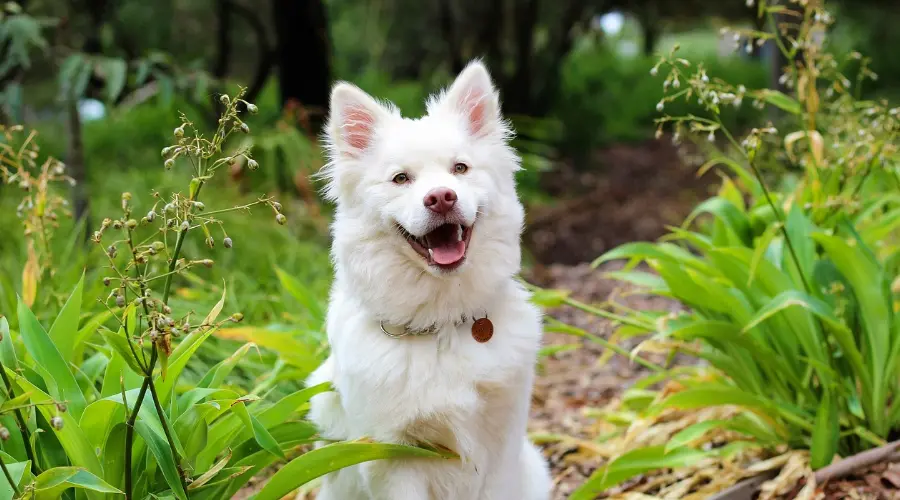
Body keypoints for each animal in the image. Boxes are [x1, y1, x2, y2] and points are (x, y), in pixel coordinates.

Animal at [306, 61, 552, 500]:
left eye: (460, 169)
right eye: (401, 179)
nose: (441, 197)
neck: (441, 324)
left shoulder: (501, 450)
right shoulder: (394, 457)